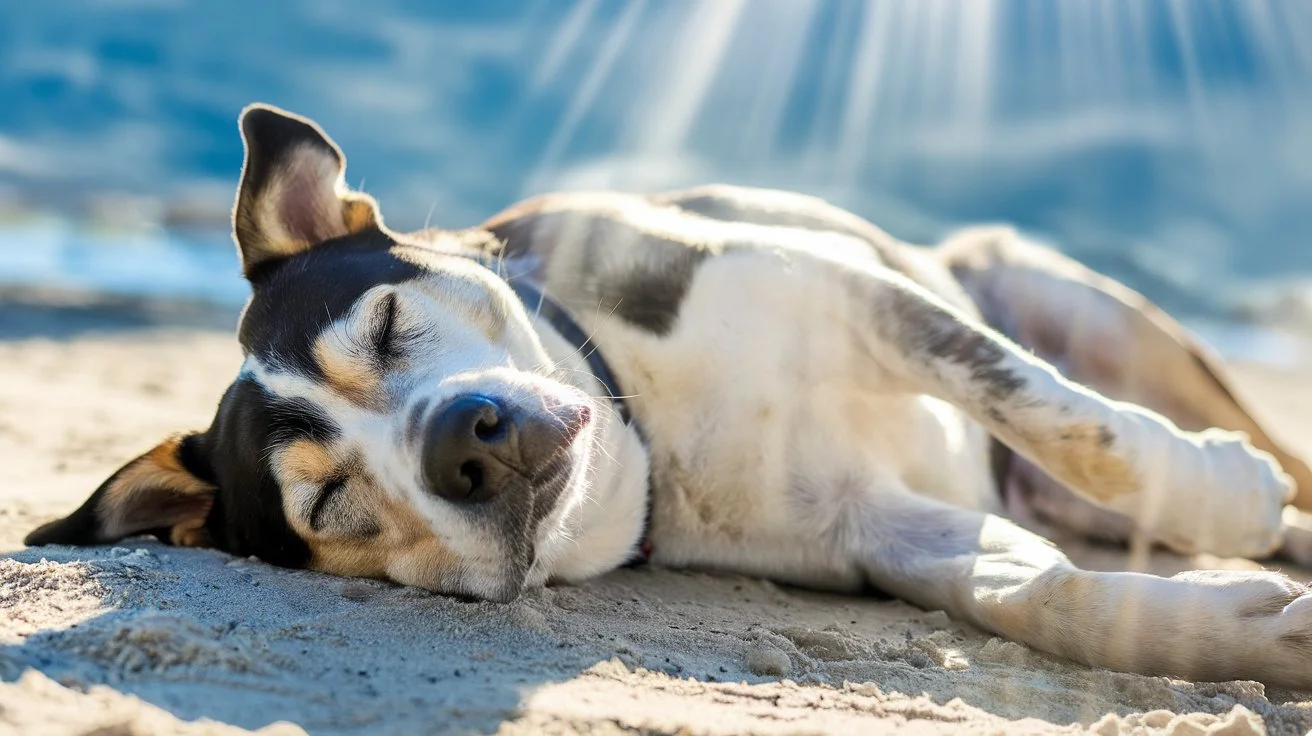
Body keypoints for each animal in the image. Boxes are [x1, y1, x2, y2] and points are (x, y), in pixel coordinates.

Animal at [25, 103, 1312, 687]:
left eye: (387, 326)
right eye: (331, 505)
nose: (467, 445)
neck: (652, 429)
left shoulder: (851, 295)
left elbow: (1071, 421)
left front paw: (1218, 497)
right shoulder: (878, 531)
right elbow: (1041, 597)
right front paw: (1250, 635)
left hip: (1097, 312)